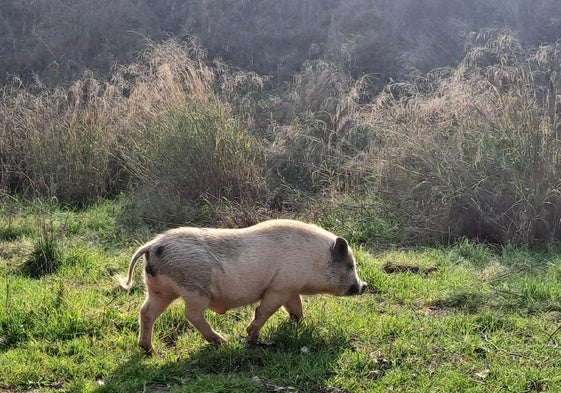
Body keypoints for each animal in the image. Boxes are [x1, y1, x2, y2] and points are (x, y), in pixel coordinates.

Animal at [118, 217, 368, 352]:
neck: (314, 260)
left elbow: (296, 308)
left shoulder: (289, 287)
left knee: (146, 312)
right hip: (194, 290)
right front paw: (251, 337)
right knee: (191, 314)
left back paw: (148, 350)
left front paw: (299, 324)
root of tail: (152, 245)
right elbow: (264, 310)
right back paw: (222, 341)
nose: (363, 285)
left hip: (159, 290)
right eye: (350, 266)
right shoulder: (278, 288)